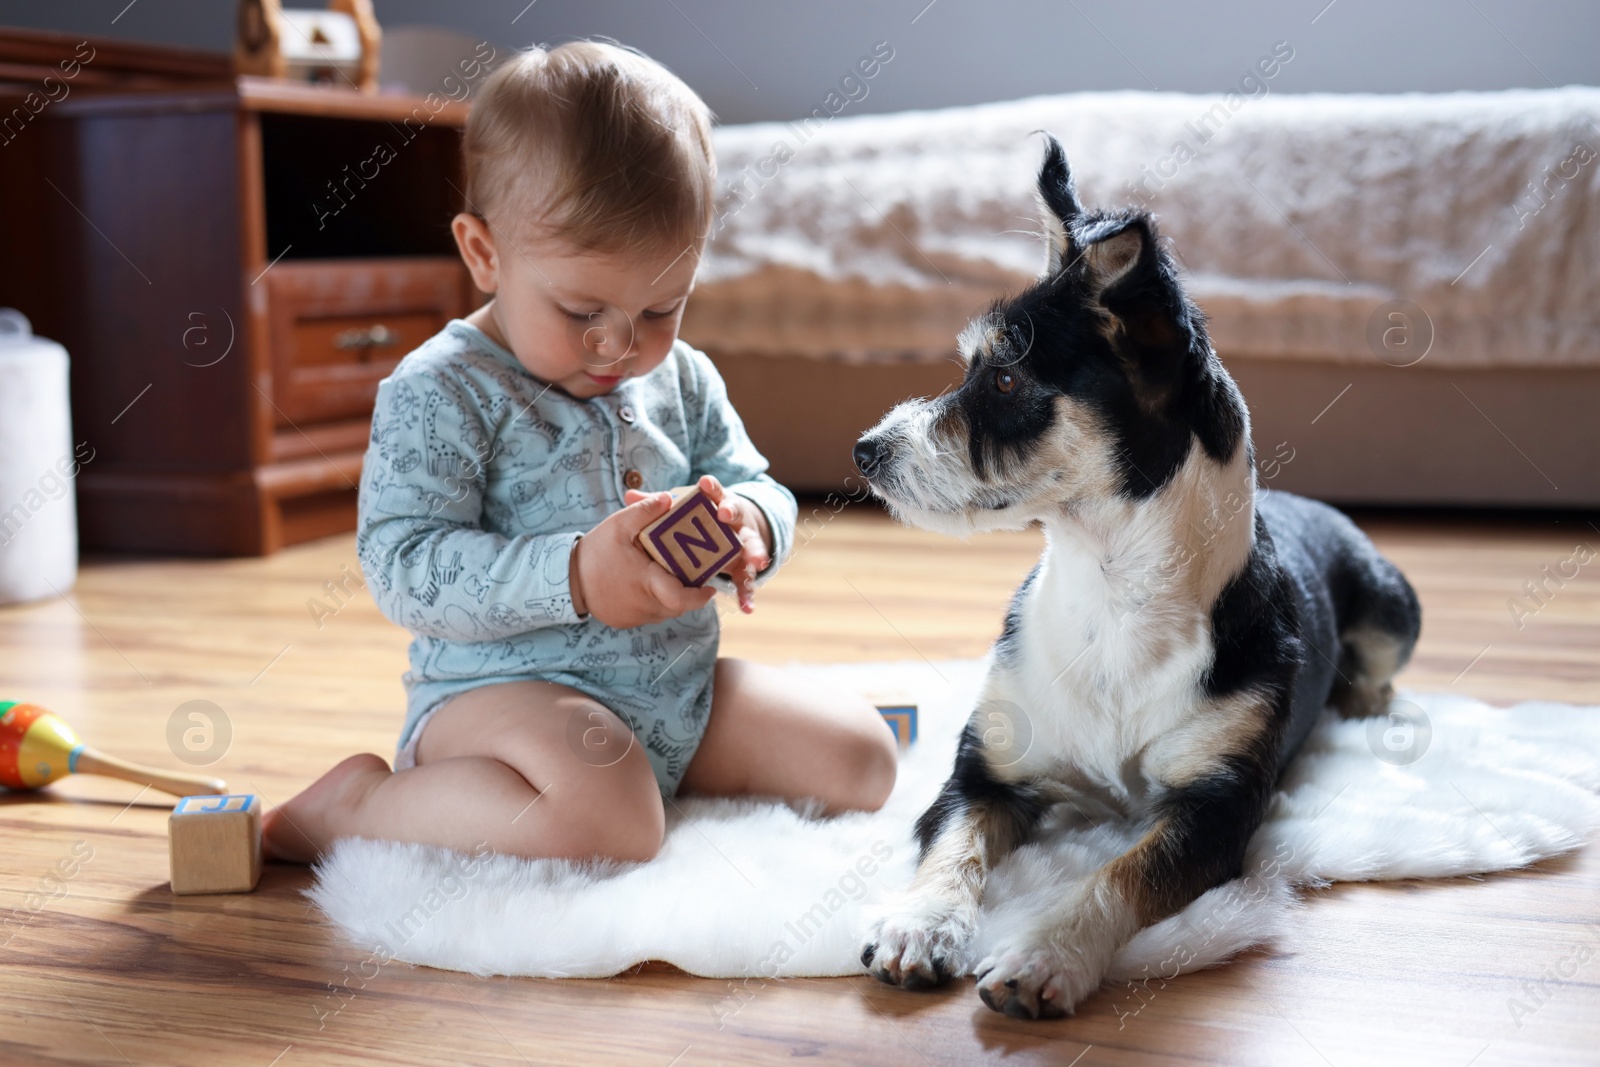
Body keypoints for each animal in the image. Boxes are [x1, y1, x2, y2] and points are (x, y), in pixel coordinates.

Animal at [857, 137, 1420, 1023]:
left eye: (1005, 381)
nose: (865, 449)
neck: (1111, 590)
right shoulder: (982, 773)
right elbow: (950, 845)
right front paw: (920, 923)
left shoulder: (1214, 812)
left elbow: (1121, 871)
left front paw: (1046, 952)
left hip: (1394, 605)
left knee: (1379, 664)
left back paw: (1364, 702)